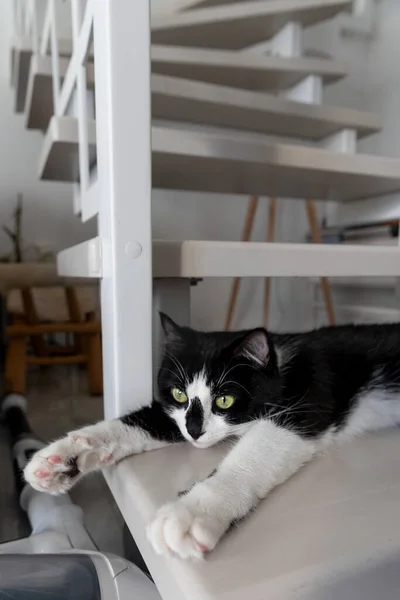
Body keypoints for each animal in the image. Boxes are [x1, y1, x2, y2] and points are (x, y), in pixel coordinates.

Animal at [24, 316, 400, 560]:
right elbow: (145, 421)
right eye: (178, 393)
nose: (194, 432)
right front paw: (61, 459)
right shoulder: (174, 416)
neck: (281, 367)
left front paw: (192, 511)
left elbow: (256, 451)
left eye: (224, 400)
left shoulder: (306, 402)